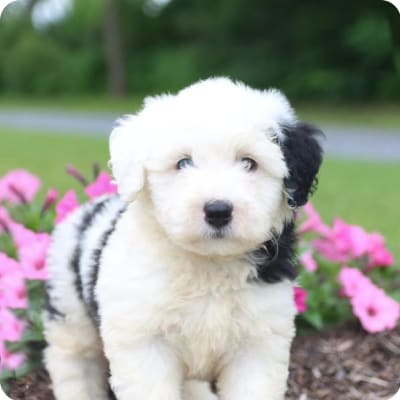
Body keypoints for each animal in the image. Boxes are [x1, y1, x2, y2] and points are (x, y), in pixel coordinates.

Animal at [43, 77, 324, 400]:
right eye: (183, 162)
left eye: (249, 163)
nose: (218, 210)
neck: (209, 266)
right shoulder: (143, 340)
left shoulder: (259, 341)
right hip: (69, 305)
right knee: (72, 357)